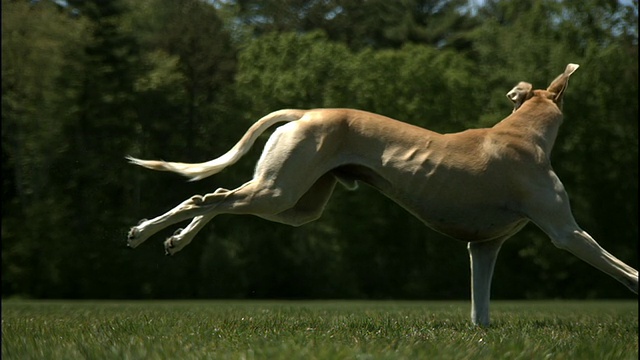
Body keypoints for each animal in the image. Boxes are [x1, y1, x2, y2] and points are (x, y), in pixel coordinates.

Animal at [125, 64, 636, 326]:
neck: (523, 130)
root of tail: (306, 112)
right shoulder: (566, 232)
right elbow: (621, 267)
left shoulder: (483, 246)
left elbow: (481, 309)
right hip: (277, 191)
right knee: (207, 199)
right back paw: (146, 232)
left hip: (297, 205)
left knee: (217, 196)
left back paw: (173, 239)